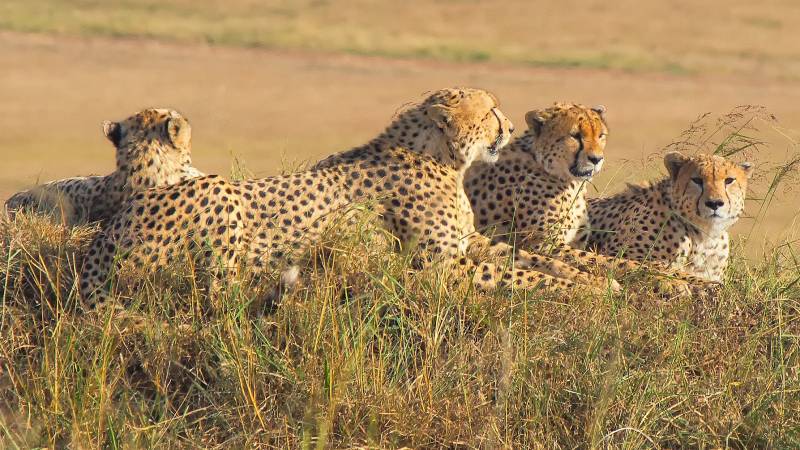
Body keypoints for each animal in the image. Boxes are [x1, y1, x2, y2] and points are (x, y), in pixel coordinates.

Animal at [81, 88, 616, 306]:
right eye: (488, 112)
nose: (506, 127)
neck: (442, 157)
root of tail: (105, 236)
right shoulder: (439, 267)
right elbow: (521, 276)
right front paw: (590, 290)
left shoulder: (474, 242)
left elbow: (533, 259)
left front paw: (594, 279)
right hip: (221, 196)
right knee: (220, 290)